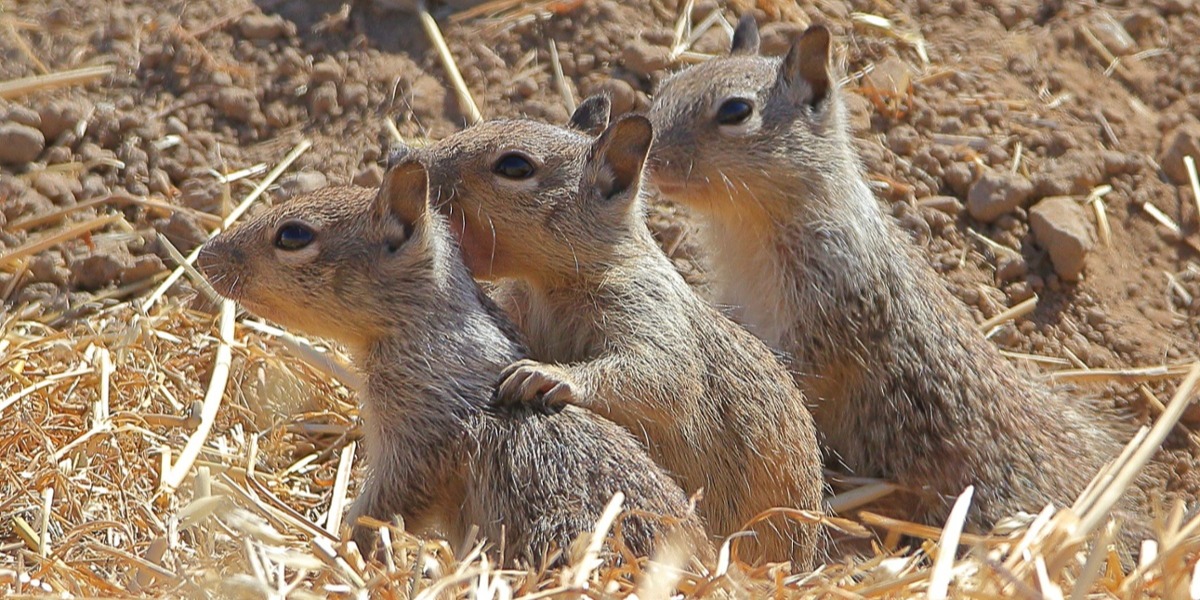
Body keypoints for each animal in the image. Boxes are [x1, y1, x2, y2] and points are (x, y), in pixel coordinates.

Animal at [194, 157, 710, 564]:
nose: (204, 255)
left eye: (294, 234)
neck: (428, 326)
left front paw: (343, 549)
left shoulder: (416, 444)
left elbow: (382, 510)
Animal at [420, 103, 825, 566]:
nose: (409, 160)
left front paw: (544, 375)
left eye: (514, 166)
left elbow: (654, 378)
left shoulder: (650, 316)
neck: (551, 284)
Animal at [648, 17, 1142, 544]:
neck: (747, 227)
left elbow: (798, 373)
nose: (649, 158)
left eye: (736, 111)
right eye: (665, 87)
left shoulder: (830, 306)